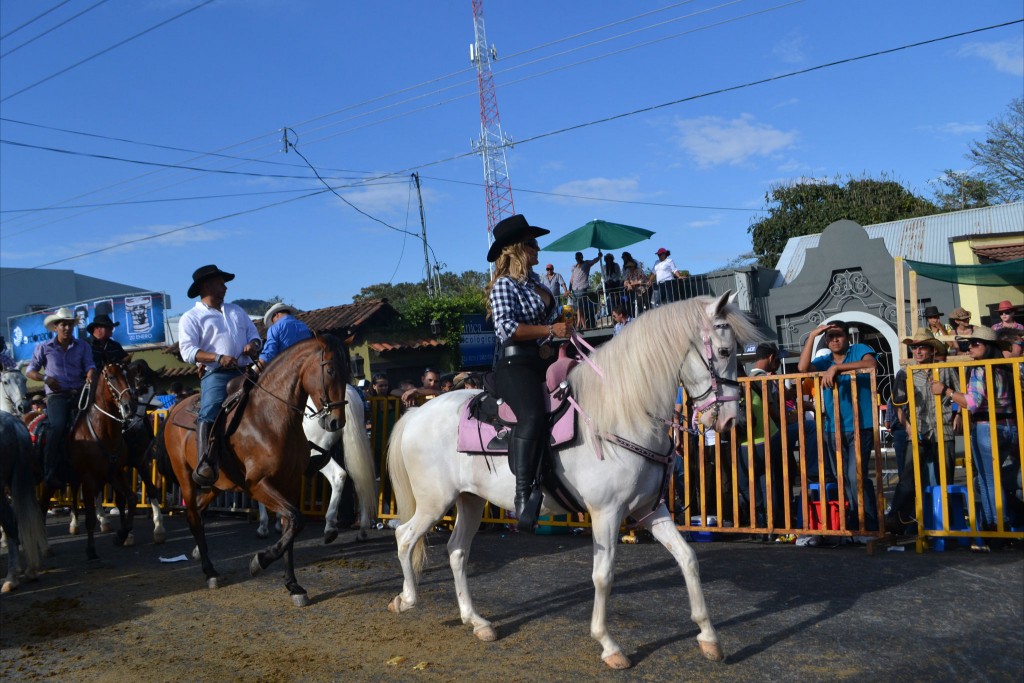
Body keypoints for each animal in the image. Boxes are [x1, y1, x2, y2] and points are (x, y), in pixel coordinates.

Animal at [37, 362, 140, 561]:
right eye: (112, 377)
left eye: (130, 376)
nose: (129, 406)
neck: (103, 431)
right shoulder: (89, 478)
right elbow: (91, 517)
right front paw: (91, 551)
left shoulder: (115, 473)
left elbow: (130, 499)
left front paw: (121, 536)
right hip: (46, 481)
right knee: (42, 507)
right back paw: (42, 547)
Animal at [155, 333, 348, 606]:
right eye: (330, 370)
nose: (336, 422)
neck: (270, 418)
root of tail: (174, 410)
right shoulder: (258, 484)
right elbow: (296, 520)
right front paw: (260, 560)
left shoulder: (289, 484)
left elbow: (291, 526)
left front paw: (293, 585)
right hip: (185, 478)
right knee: (193, 516)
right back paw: (209, 571)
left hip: (218, 484)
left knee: (200, 511)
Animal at [258, 387, 378, 540]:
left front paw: (263, 526)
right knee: (361, 480)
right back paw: (362, 530)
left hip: (316, 453)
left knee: (339, 475)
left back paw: (330, 526)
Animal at [385, 292, 761, 667]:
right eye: (724, 351)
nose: (731, 421)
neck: (624, 413)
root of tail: (417, 412)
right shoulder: (606, 513)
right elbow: (603, 575)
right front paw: (608, 644)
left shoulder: (650, 510)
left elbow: (687, 558)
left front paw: (709, 637)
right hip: (434, 502)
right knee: (405, 537)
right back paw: (406, 599)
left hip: (470, 500)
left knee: (457, 551)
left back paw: (476, 621)